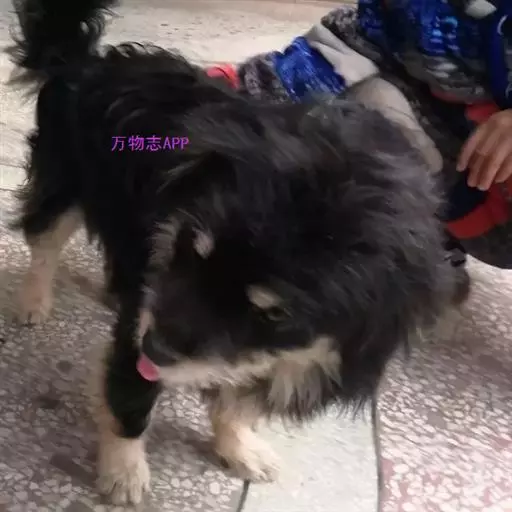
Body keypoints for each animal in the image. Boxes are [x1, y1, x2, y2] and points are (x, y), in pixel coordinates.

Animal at [9, 0, 458, 504]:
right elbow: (130, 395)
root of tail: (88, 59)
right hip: (62, 185)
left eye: (274, 314)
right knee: (44, 242)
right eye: (192, 250)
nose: (154, 346)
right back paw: (33, 302)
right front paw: (124, 473)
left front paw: (238, 447)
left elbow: (236, 405)